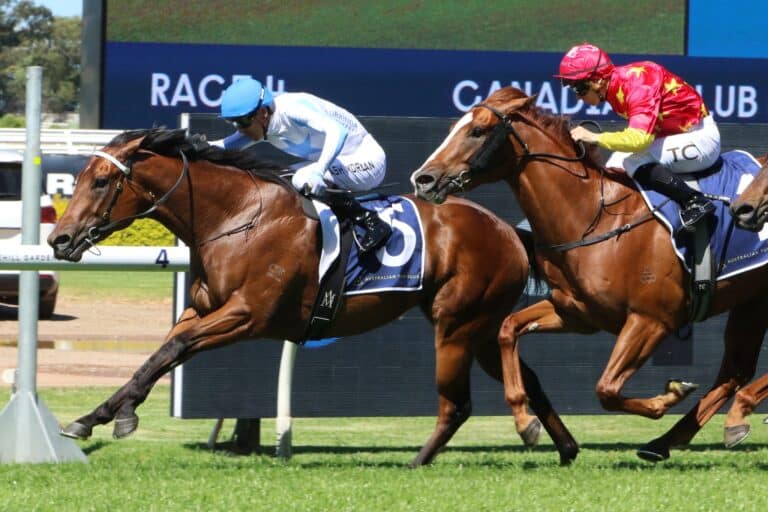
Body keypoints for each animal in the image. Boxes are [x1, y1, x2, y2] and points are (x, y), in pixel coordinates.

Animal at [47, 128, 580, 467]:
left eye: (100, 181)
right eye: (76, 180)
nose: (59, 240)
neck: (235, 217)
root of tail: (509, 231)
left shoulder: (247, 315)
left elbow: (172, 350)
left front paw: (114, 418)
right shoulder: (201, 310)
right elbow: (157, 356)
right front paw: (97, 417)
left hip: (457, 324)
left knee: (458, 403)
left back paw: (418, 461)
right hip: (481, 327)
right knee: (526, 377)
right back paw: (563, 448)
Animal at [411, 86, 768, 461]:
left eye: (478, 131)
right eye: (453, 126)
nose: (423, 179)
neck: (593, 218)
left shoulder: (652, 319)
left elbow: (606, 389)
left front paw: (669, 395)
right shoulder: (577, 313)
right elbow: (508, 329)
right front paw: (525, 421)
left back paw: (732, 415)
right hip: (752, 301)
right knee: (734, 371)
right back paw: (672, 440)